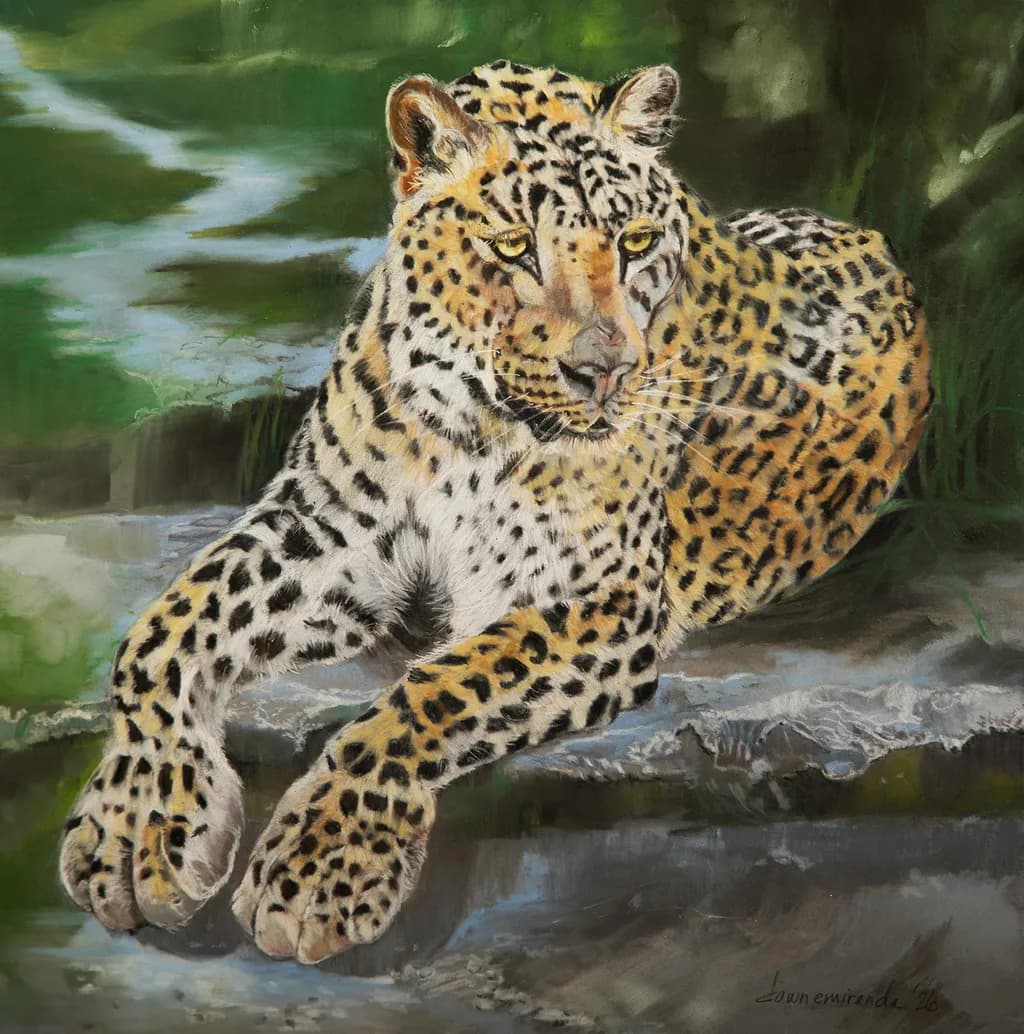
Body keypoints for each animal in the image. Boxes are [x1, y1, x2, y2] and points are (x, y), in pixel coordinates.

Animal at [59, 60, 931, 964]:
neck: (463, 422)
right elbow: (166, 626)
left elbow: (437, 687)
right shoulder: (326, 531)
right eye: (513, 247)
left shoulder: (598, 595)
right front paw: (132, 830)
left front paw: (322, 866)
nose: (606, 373)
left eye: (636, 241)